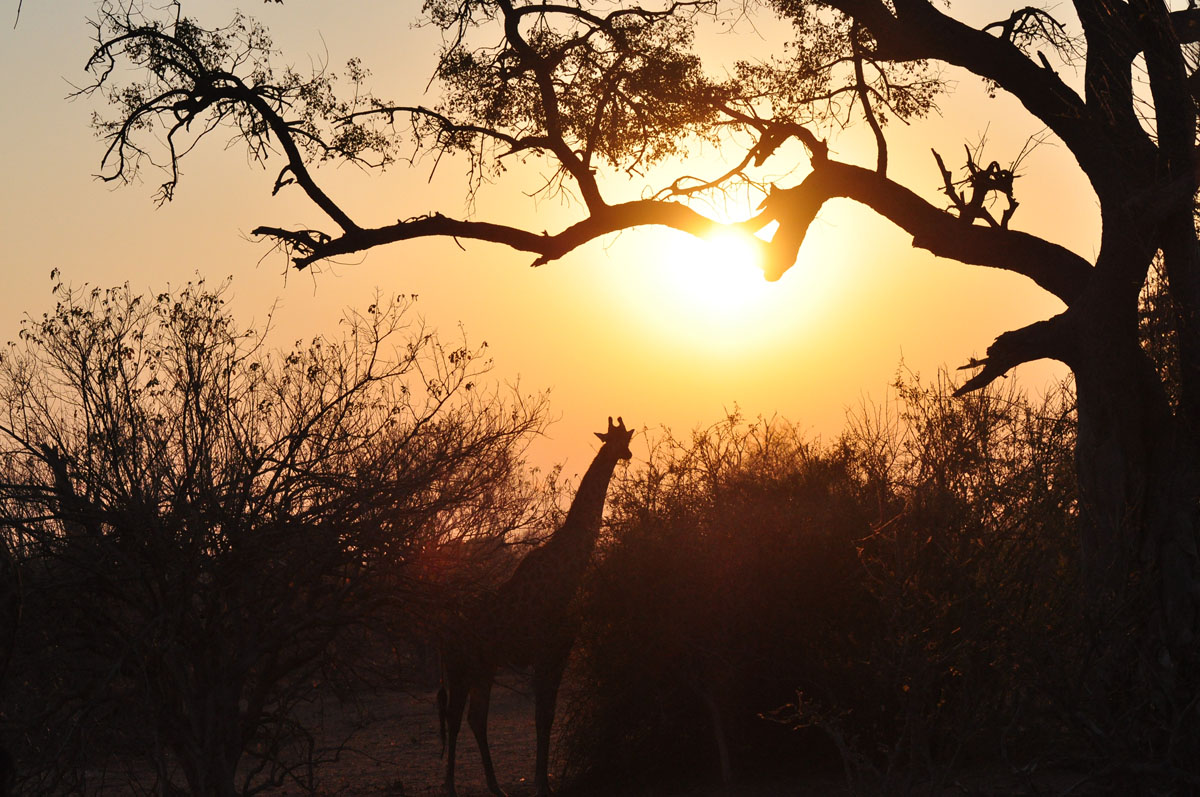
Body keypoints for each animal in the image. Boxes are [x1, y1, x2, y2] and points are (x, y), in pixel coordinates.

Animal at [438, 416, 634, 797]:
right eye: (614, 439)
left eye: (627, 438)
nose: (627, 455)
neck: (568, 572)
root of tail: (442, 631)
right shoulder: (545, 652)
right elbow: (541, 716)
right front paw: (542, 783)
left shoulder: (560, 651)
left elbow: (549, 715)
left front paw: (545, 782)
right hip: (459, 666)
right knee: (454, 717)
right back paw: (451, 786)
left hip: (484, 666)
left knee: (475, 717)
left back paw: (496, 787)